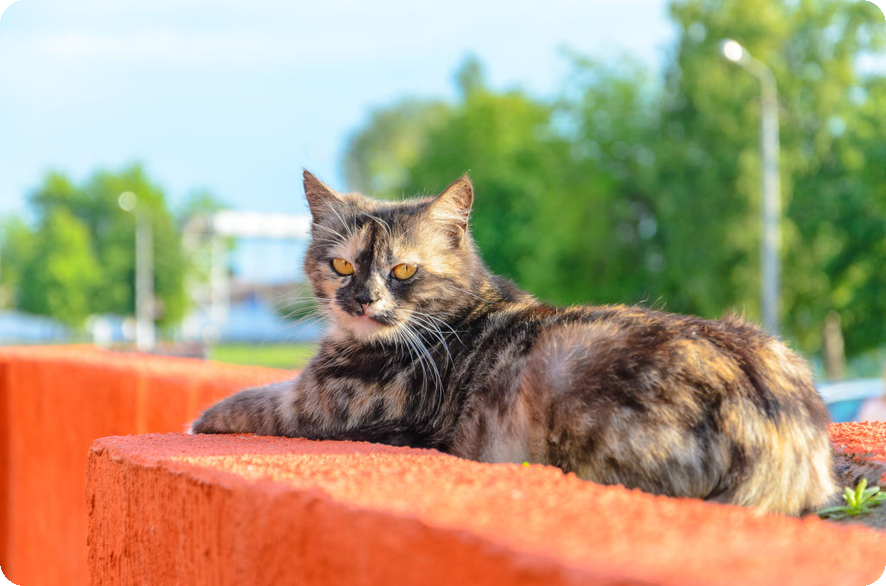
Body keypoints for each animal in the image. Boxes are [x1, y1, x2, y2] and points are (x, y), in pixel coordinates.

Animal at [191, 170, 837, 515]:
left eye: (403, 271)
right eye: (343, 264)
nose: (364, 300)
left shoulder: (320, 406)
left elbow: (248, 402)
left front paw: (201, 420)